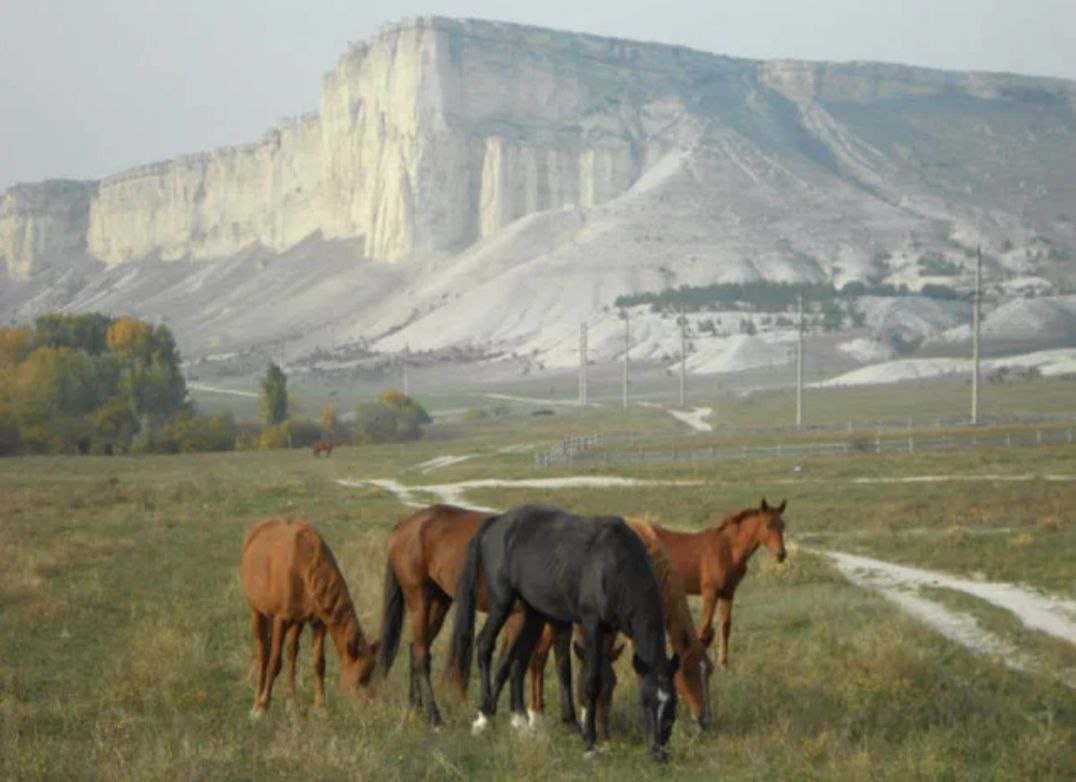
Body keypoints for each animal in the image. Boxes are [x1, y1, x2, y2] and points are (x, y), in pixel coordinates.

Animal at [239, 516, 378, 718]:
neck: (303, 565)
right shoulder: (280, 619)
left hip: (296, 621)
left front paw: (321, 706)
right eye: (362, 677)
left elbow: (318, 663)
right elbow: (274, 662)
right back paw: (258, 700)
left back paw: (290, 699)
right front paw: (262, 706)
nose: (369, 707)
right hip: (257, 611)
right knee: (263, 652)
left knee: (291, 652)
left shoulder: (317, 622)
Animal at [447, 505, 680, 761]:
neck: (615, 565)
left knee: (517, 658)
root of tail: (497, 522)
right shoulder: (592, 624)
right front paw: (590, 743)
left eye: (673, 705)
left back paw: (519, 720)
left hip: (533, 613)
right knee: (484, 645)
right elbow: (591, 679)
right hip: (502, 603)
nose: (659, 753)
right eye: (645, 702)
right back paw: (483, 717)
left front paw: (579, 727)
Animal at [649, 499, 787, 671]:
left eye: (783, 525)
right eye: (768, 525)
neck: (727, 549)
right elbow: (704, 628)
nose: (781, 555)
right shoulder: (710, 592)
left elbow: (725, 626)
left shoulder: (728, 592)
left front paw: (724, 663)